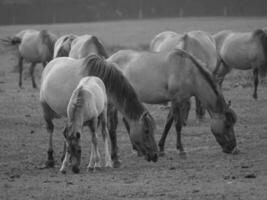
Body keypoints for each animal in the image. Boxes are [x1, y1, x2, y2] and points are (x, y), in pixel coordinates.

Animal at [108, 47, 238, 155]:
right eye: (227, 125)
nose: (233, 148)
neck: (188, 71)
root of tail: (109, 59)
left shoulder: (176, 101)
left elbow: (168, 123)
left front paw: (161, 148)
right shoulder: (176, 100)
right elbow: (177, 125)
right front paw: (181, 149)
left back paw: (136, 148)